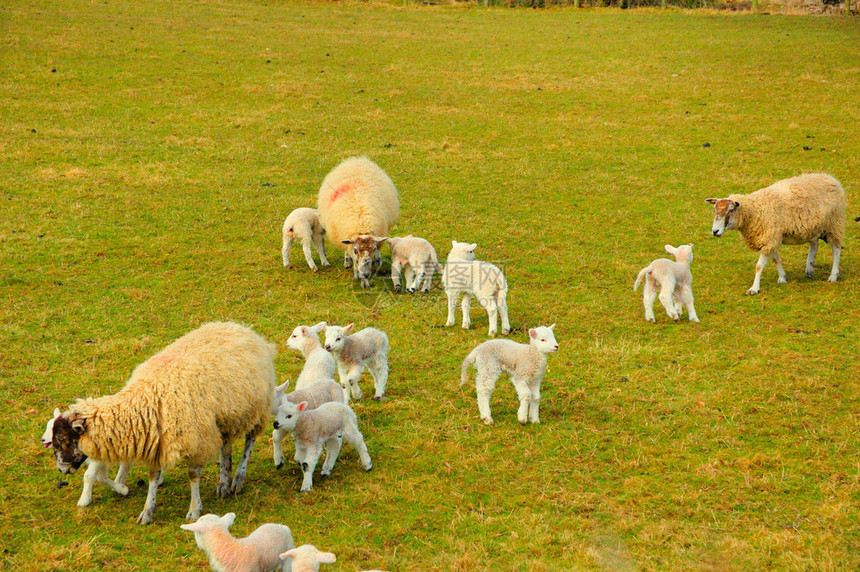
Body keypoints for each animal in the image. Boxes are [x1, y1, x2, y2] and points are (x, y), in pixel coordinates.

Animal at [50, 322, 278, 524]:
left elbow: (193, 475)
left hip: (258, 407)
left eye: (63, 440)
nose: (61, 470)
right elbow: (153, 476)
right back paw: (224, 482)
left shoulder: (196, 438)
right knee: (226, 447)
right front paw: (147, 512)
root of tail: (241, 328)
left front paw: (194, 509)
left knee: (249, 441)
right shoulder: (158, 441)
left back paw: (238, 479)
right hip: (225, 419)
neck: (145, 398)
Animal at [318, 156, 402, 288]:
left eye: (372, 249)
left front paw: (365, 280)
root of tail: (356, 160)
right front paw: (359, 275)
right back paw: (347, 261)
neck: (361, 224)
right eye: (356, 250)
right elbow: (355, 262)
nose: (367, 274)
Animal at [704, 172, 848, 294]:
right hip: (815, 226)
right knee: (814, 244)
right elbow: (775, 259)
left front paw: (754, 288)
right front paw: (782, 278)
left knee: (836, 248)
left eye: (730, 210)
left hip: (834, 223)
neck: (755, 210)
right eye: (715, 210)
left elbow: (758, 266)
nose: (715, 231)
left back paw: (833, 275)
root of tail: (830, 178)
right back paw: (809, 269)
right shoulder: (770, 238)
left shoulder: (770, 237)